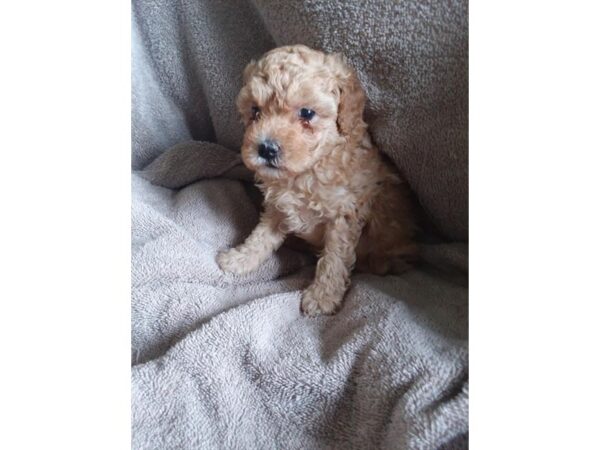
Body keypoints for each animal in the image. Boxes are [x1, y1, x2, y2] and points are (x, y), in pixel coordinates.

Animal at [217, 44, 418, 314]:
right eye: (255, 111)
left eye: (307, 113)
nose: (266, 148)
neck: (305, 173)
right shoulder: (278, 208)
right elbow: (261, 237)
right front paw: (240, 258)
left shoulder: (344, 214)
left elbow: (334, 258)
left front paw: (323, 297)